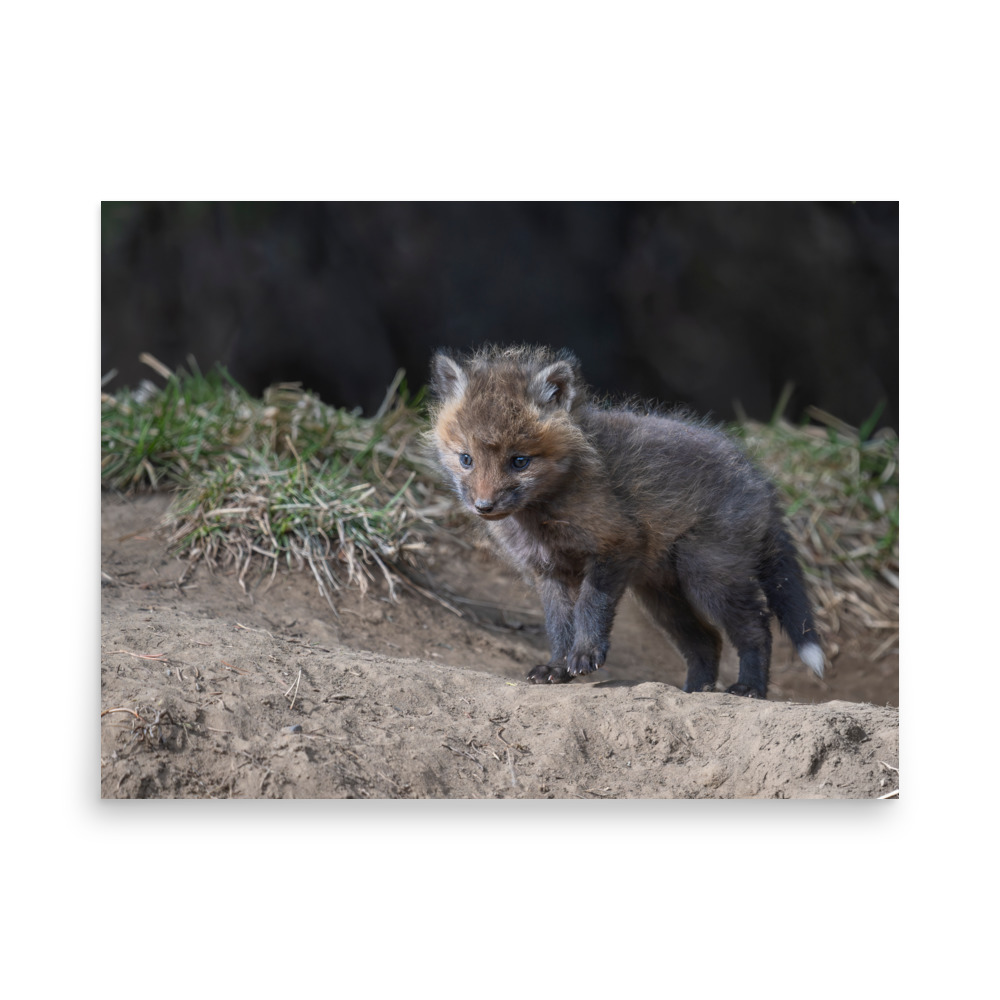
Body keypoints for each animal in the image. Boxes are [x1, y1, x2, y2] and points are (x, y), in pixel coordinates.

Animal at [428, 344, 824, 699]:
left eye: (519, 461)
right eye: (466, 459)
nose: (484, 506)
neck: (542, 517)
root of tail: (760, 480)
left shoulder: (616, 545)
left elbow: (590, 606)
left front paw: (585, 655)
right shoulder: (549, 571)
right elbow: (559, 625)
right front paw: (557, 667)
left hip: (708, 576)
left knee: (756, 628)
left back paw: (749, 688)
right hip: (662, 596)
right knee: (707, 641)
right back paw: (695, 691)